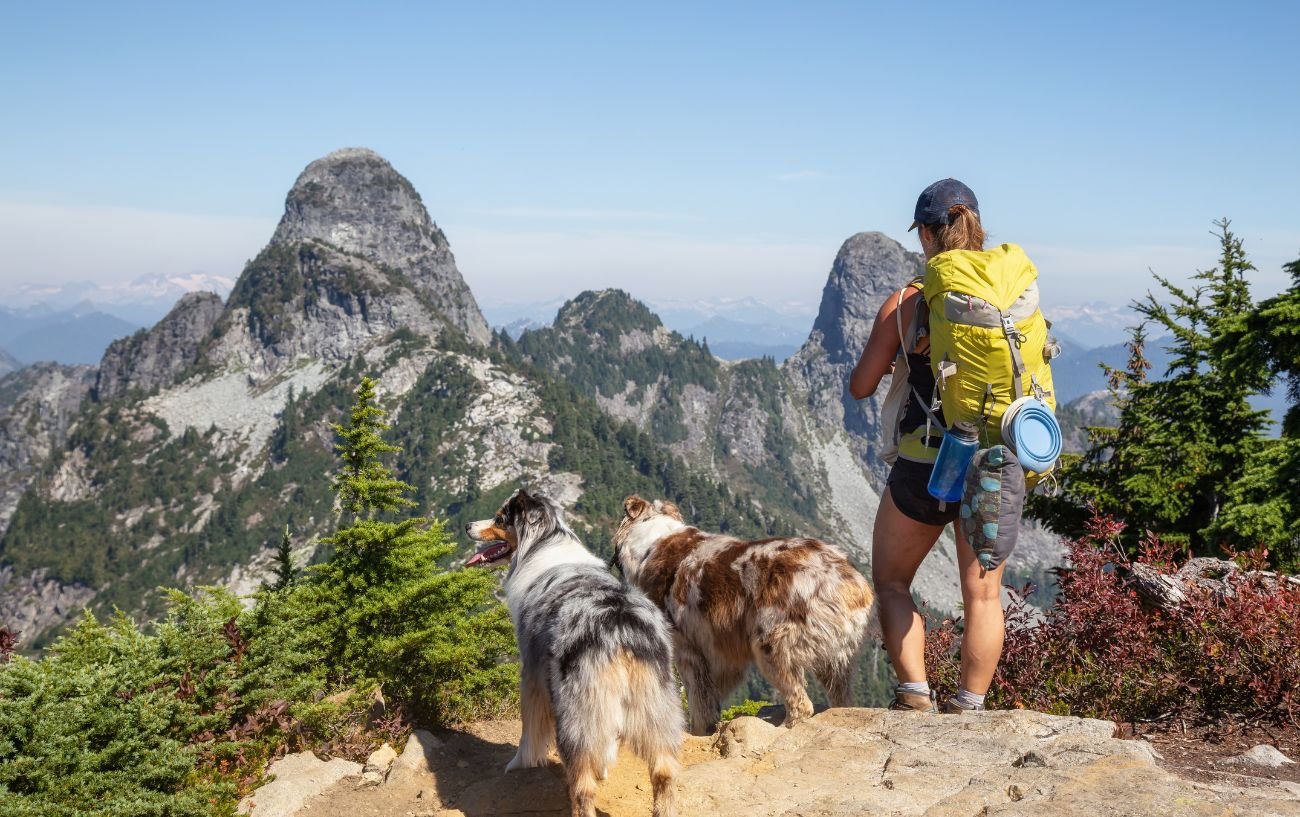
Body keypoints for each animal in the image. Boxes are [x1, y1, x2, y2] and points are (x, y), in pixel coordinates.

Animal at [616, 496, 873, 733]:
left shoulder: (686, 646)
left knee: (801, 702)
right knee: (840, 700)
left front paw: (696, 729)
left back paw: (782, 728)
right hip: (837, 658)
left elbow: (697, 696)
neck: (653, 540)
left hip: (771, 642)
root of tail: (849, 581)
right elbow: (711, 694)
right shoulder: (723, 650)